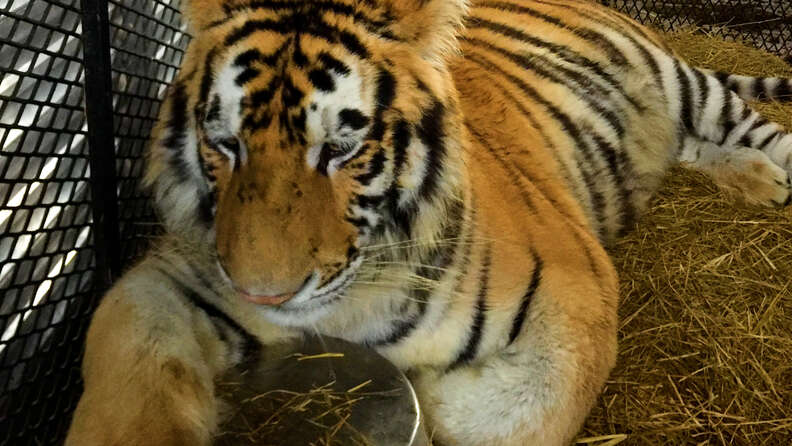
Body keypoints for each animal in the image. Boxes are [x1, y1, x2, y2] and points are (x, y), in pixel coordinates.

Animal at [65, 0, 792, 445]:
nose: (264, 295)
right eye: (225, 143)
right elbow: (127, 376)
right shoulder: (172, 278)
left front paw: (433, 398)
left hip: (683, 84)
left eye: (340, 148)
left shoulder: (576, 289)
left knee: (755, 129)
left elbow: (519, 411)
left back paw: (773, 177)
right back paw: (754, 180)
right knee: (686, 145)